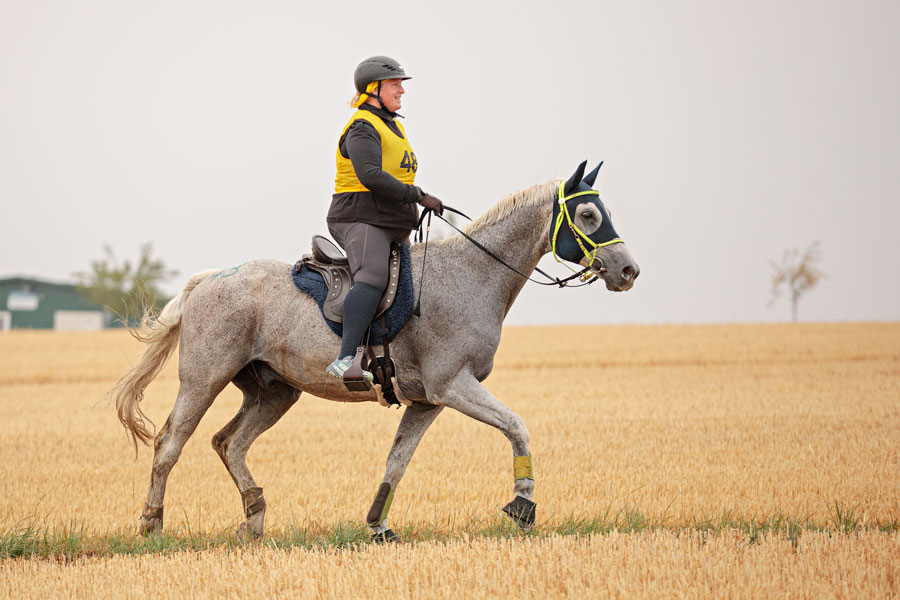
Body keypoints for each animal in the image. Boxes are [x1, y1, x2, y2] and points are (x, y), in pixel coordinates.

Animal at [110, 161, 640, 541]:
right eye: (588, 215)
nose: (628, 271)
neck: (472, 275)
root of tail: (206, 280)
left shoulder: (427, 401)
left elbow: (396, 462)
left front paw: (378, 525)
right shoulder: (453, 386)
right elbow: (517, 426)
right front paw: (523, 503)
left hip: (274, 392)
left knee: (230, 443)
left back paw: (254, 518)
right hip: (205, 379)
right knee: (169, 444)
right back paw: (152, 524)